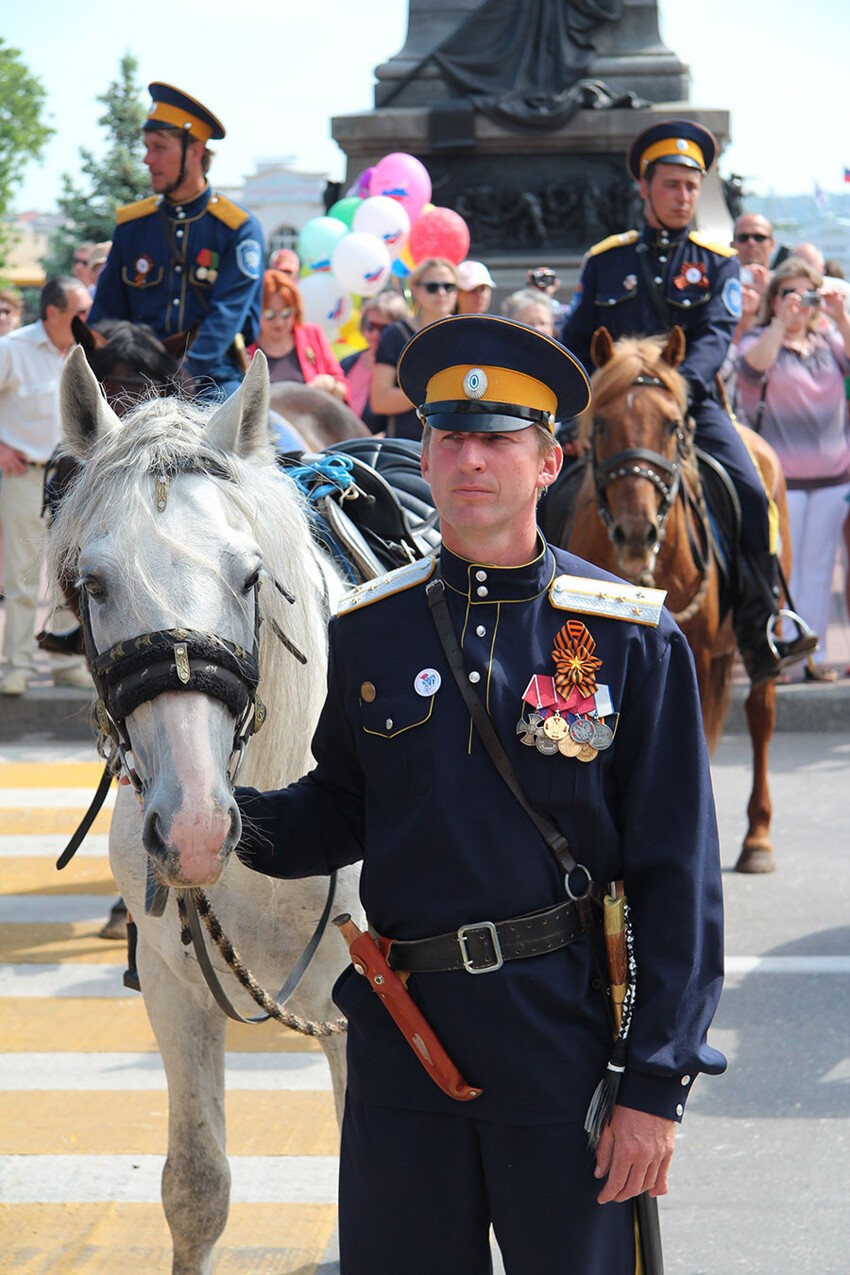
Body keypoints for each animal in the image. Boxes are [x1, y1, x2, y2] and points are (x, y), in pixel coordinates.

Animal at [558, 323, 790, 872]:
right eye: (601, 425)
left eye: (670, 426)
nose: (635, 533)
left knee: (760, 716)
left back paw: (758, 838)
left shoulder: (694, 662)